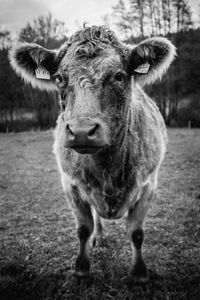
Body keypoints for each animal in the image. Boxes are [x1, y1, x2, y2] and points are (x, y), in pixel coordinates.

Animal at [9, 25, 175, 284]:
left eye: (118, 76)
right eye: (59, 78)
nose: (81, 131)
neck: (108, 168)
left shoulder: (149, 183)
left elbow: (136, 232)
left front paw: (139, 273)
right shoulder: (70, 183)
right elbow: (83, 229)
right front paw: (81, 269)